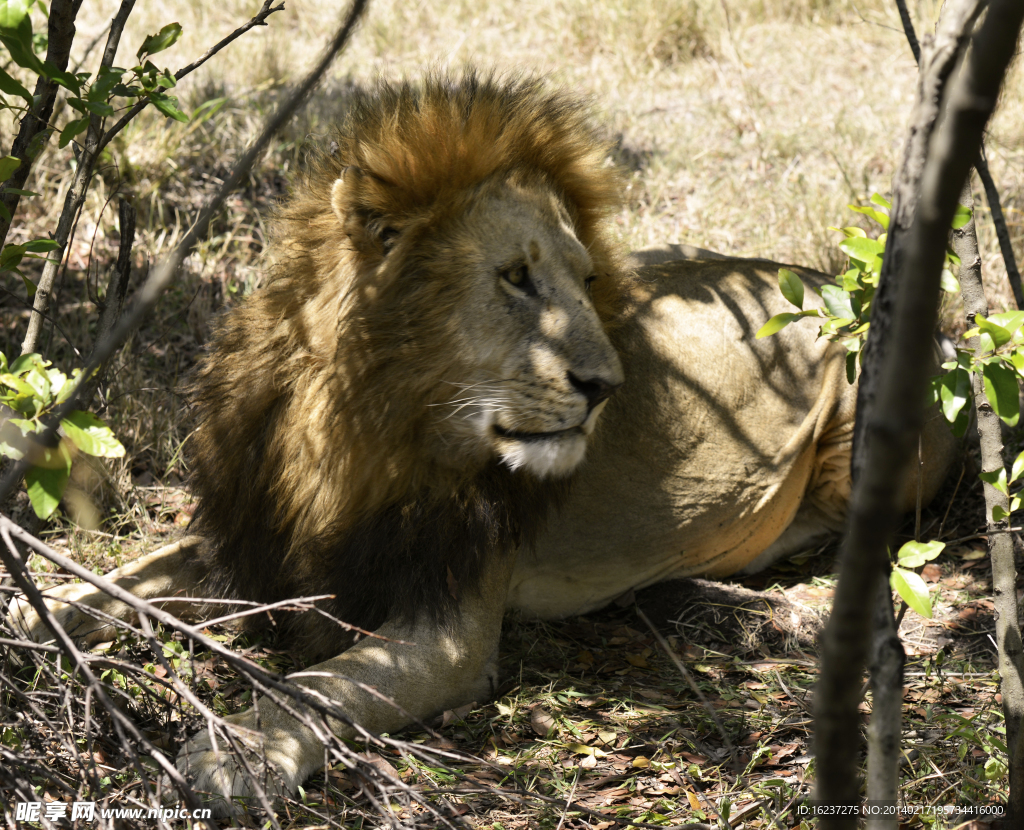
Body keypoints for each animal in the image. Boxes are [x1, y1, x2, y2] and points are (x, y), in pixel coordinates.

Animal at [9, 73, 950, 818]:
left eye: (589, 282)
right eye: (517, 277)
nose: (608, 387)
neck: (352, 430)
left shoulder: (450, 623)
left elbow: (320, 683)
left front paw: (240, 749)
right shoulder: (248, 537)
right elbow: (105, 586)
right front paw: (28, 614)